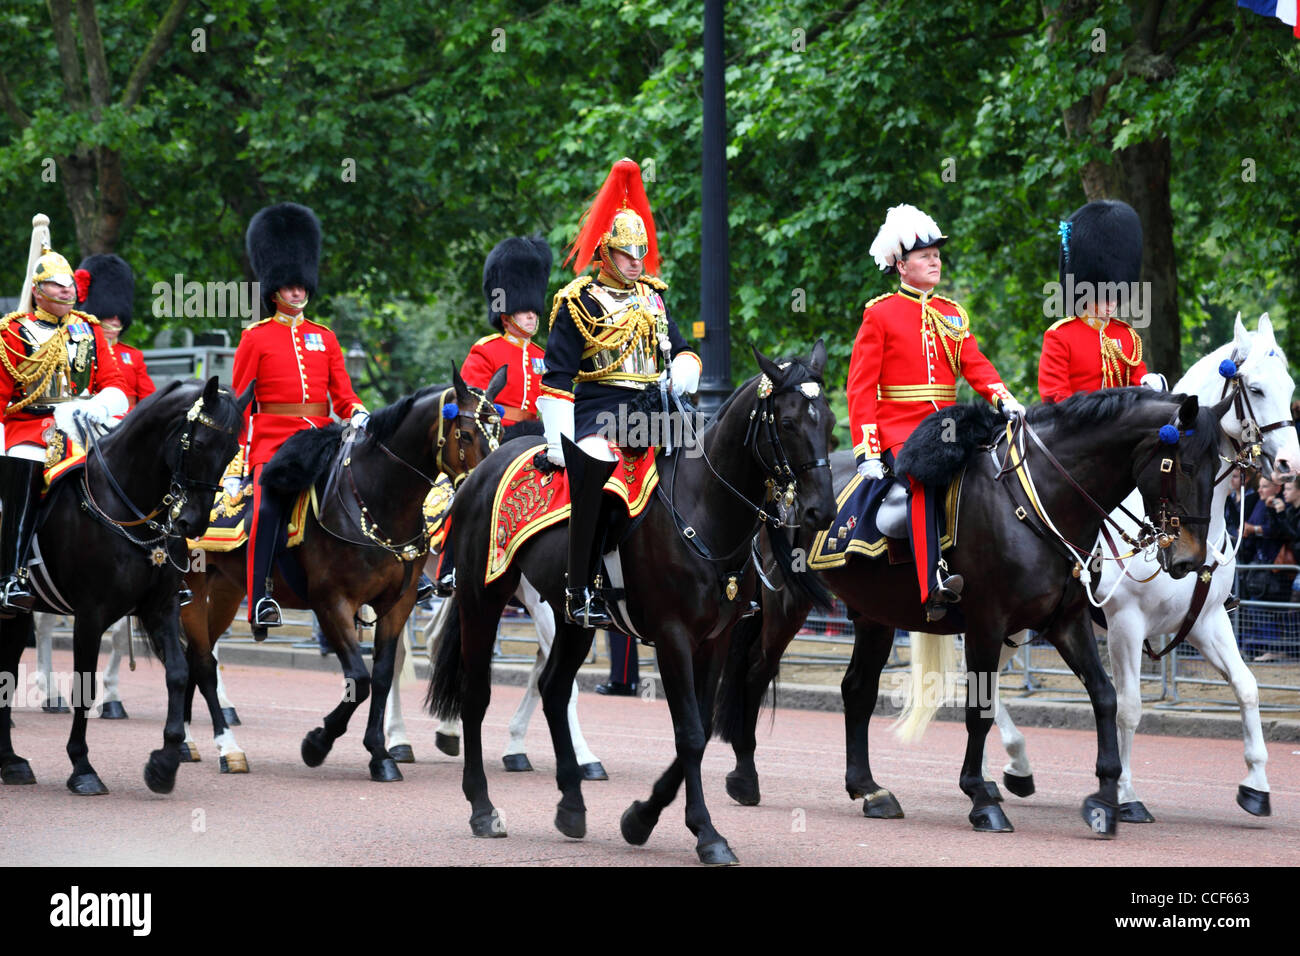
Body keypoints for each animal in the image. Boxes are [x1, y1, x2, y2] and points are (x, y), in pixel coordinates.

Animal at [0, 377, 250, 796]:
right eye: (198, 443)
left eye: (233, 450)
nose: (194, 524)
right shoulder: (89, 615)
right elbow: (84, 686)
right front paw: (83, 768)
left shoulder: (162, 607)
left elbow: (179, 672)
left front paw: (165, 763)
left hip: (18, 613)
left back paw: (12, 762)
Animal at [179, 366, 506, 780]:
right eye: (465, 434)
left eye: (500, 431)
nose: (490, 484)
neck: (377, 500)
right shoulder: (332, 603)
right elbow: (359, 679)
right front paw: (317, 743)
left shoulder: (396, 606)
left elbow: (380, 676)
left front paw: (380, 754)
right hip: (192, 587)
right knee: (201, 659)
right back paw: (209, 746)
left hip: (226, 591)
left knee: (197, 654)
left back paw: (195, 742)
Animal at [426, 343, 832, 868]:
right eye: (786, 421)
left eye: (829, 420)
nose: (820, 510)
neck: (704, 506)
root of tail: (481, 470)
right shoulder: (673, 636)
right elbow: (690, 733)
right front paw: (705, 833)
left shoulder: (716, 639)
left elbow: (699, 728)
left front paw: (640, 818)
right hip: (483, 598)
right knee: (476, 695)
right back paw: (482, 807)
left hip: (571, 618)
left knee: (553, 689)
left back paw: (571, 804)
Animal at [717, 390, 1232, 837]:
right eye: (1185, 466)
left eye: (1219, 469)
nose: (1189, 560)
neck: (1040, 500)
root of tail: (780, 485)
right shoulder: (988, 622)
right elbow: (979, 710)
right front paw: (980, 799)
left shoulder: (1065, 622)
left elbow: (1105, 696)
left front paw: (1105, 799)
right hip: (787, 603)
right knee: (756, 670)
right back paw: (745, 775)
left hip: (873, 615)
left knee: (857, 691)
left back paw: (868, 790)